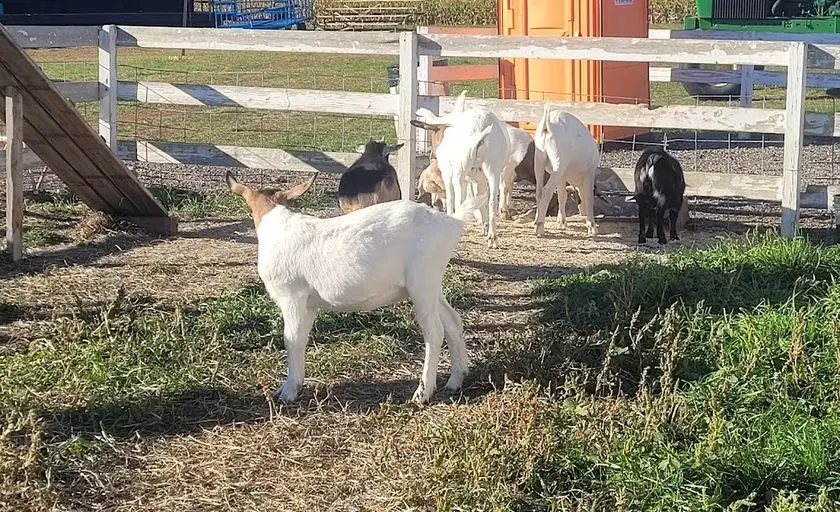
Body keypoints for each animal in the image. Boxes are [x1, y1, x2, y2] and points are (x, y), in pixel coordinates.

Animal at [225, 172, 486, 404]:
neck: (277, 225)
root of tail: (451, 222)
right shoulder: (308, 304)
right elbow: (301, 338)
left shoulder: (292, 296)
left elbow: (292, 339)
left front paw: (288, 391)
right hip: (432, 285)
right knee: (453, 321)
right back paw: (455, 380)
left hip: (422, 281)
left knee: (434, 332)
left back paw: (422, 394)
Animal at [536, 106, 600, 238]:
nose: (582, 212)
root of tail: (547, 125)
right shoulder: (589, 172)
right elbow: (589, 197)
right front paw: (592, 227)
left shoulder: (562, 176)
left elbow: (562, 195)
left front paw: (561, 222)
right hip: (558, 164)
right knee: (546, 192)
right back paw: (540, 228)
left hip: (539, 161)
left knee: (539, 192)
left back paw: (535, 222)